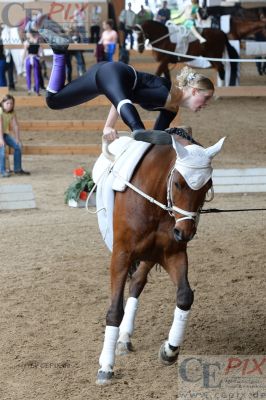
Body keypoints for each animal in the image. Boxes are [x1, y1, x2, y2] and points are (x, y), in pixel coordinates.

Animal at [94, 131, 225, 384]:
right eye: (178, 183)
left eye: (208, 186)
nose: (184, 233)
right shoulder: (121, 255)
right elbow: (114, 311)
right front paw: (106, 367)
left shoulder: (173, 253)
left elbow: (184, 296)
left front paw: (170, 350)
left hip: (150, 255)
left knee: (137, 282)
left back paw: (125, 337)